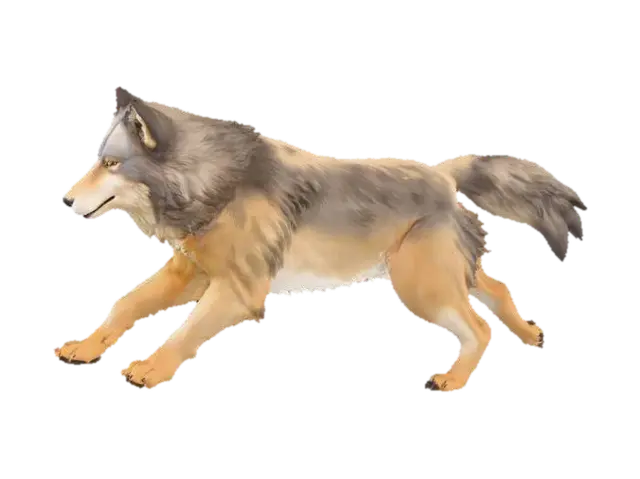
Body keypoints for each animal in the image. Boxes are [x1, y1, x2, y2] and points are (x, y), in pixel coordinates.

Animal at [54, 86, 586, 393]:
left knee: (479, 328)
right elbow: (124, 306)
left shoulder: (238, 290)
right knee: (497, 289)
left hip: (418, 285)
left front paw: (151, 371)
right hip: (437, 276)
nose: (64, 201)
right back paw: (531, 333)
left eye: (110, 164)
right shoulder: (190, 273)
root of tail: (444, 173)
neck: (213, 182)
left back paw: (455, 380)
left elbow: (183, 331)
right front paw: (84, 347)